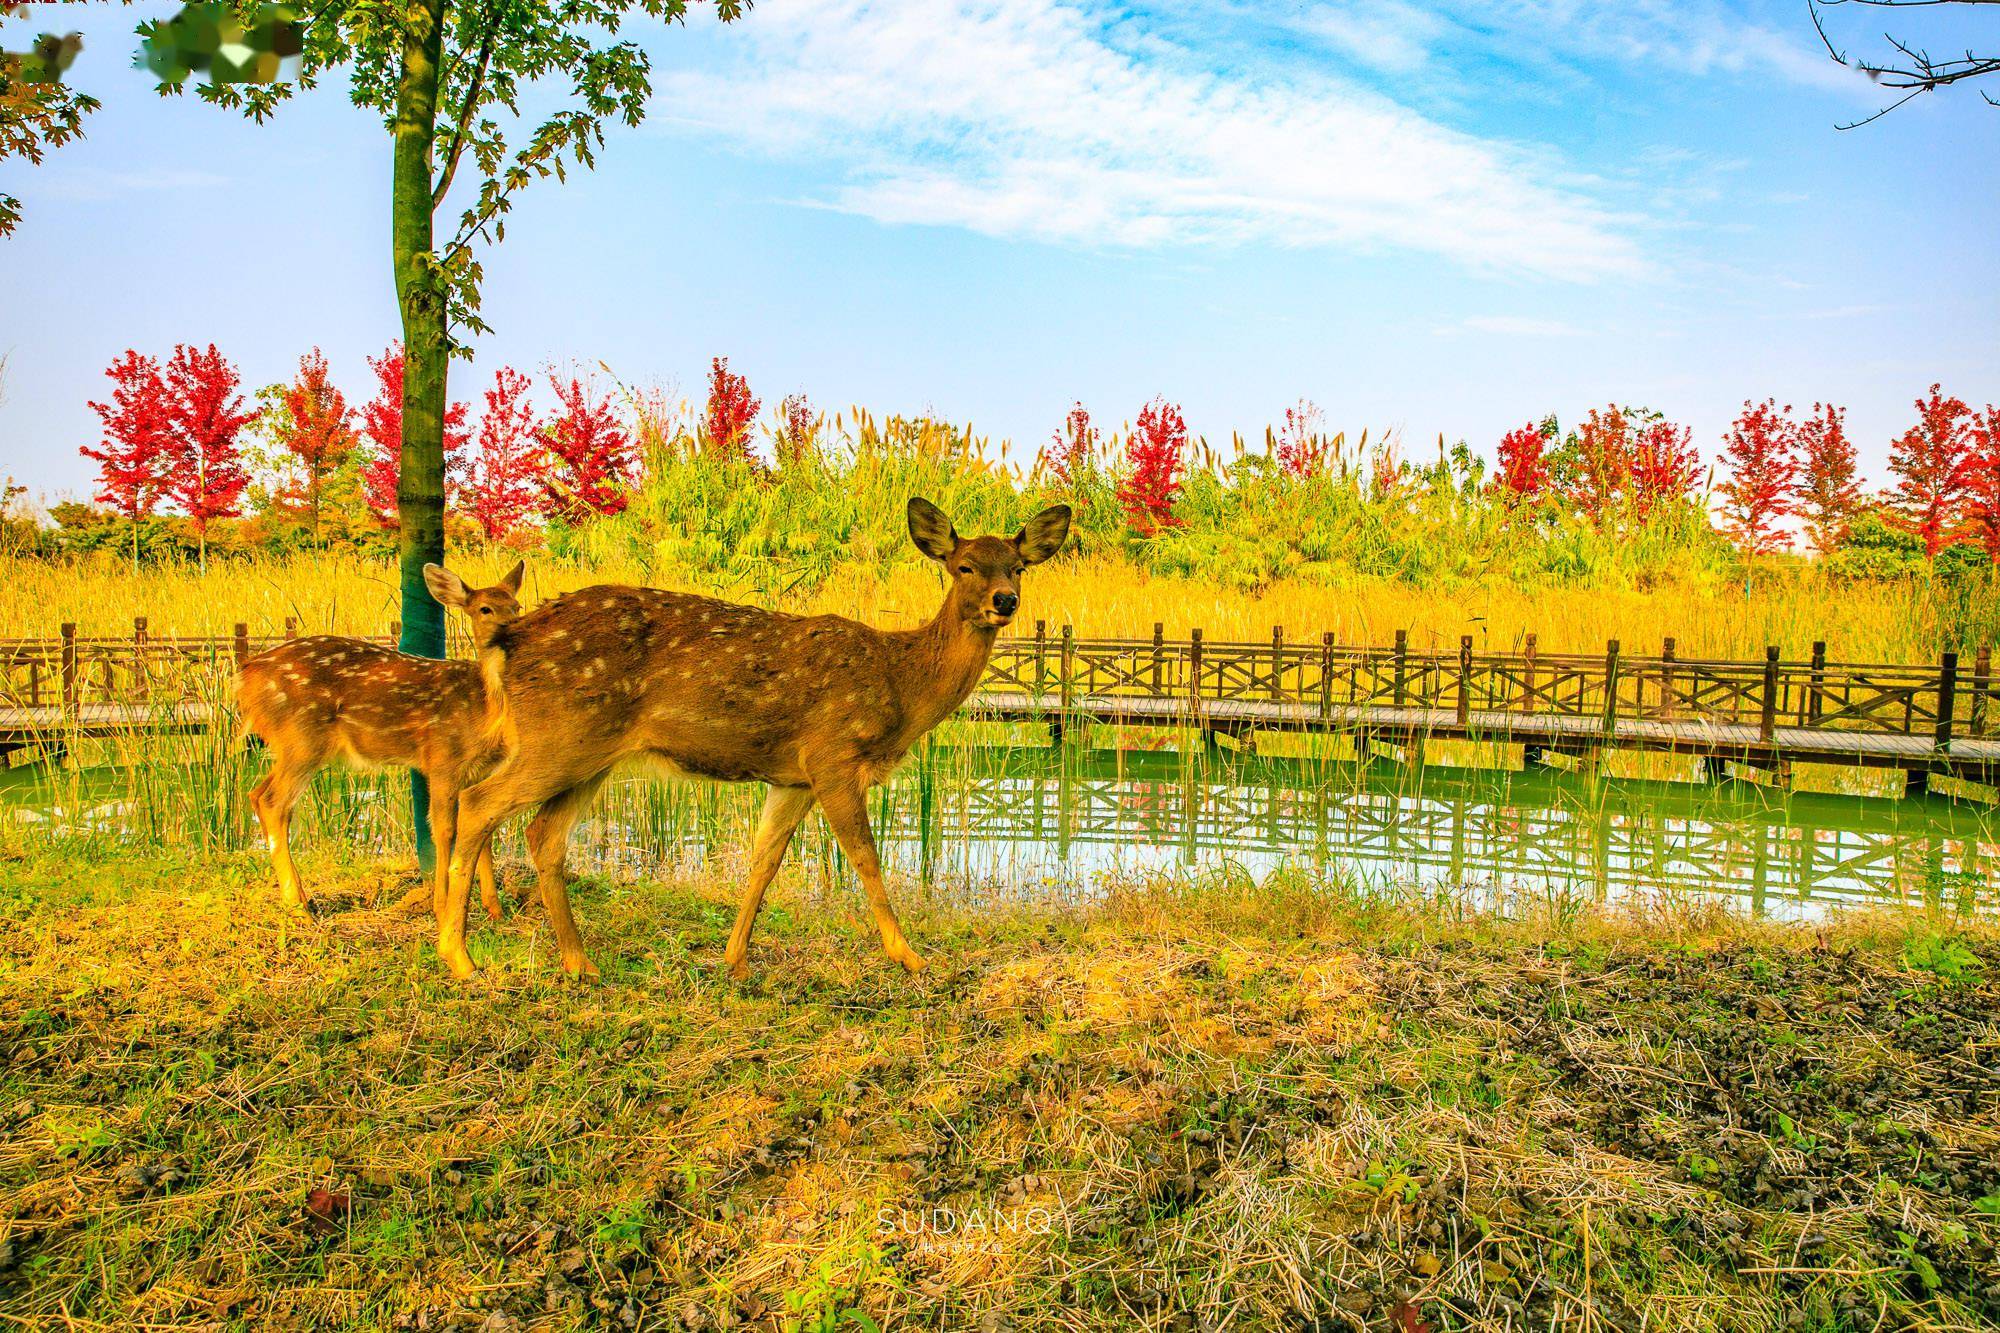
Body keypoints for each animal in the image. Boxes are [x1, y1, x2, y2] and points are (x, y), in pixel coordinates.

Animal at [236, 556, 524, 912]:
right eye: (485, 609)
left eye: (516, 606)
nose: (514, 630)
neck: (484, 709)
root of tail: (243, 677)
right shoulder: (442, 758)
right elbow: (444, 829)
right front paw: (441, 904)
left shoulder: (478, 771)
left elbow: (484, 832)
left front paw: (493, 908)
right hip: (301, 737)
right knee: (274, 802)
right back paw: (297, 905)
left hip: (288, 744)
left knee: (256, 793)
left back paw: (301, 895)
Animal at [434, 498, 1064, 976]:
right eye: (964, 566)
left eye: (1018, 566)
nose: (1004, 601)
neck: (900, 683)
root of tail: (508, 639)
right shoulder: (834, 756)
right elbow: (867, 858)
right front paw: (909, 955)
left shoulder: (793, 778)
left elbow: (764, 862)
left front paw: (733, 957)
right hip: (558, 738)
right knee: (478, 801)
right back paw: (459, 957)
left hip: (590, 755)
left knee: (543, 834)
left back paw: (579, 962)